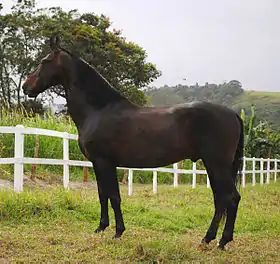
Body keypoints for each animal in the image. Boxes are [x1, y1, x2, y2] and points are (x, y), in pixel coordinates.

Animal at [22, 36, 243, 250]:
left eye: (44, 61)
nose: (26, 86)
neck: (98, 111)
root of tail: (233, 114)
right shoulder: (98, 164)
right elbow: (103, 194)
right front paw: (101, 227)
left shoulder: (104, 162)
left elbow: (113, 196)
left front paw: (118, 232)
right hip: (213, 166)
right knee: (220, 199)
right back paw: (209, 239)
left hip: (217, 164)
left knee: (230, 198)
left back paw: (221, 241)